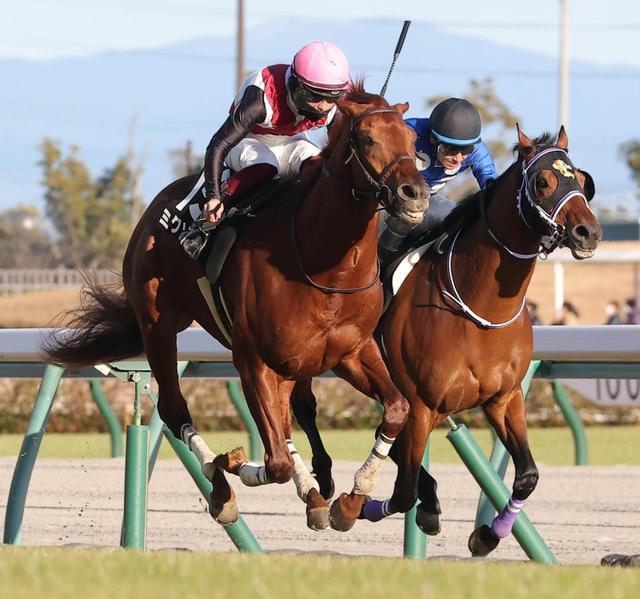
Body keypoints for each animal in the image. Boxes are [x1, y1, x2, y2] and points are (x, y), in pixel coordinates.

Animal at [45, 82, 430, 532]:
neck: (322, 264)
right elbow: (275, 461)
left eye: (413, 141)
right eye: (367, 139)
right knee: (175, 409)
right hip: (158, 326)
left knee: (285, 420)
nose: (415, 194)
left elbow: (397, 409)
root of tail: (153, 209)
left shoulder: (350, 351)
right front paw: (231, 463)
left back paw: (312, 493)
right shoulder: (254, 360)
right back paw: (222, 488)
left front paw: (351, 499)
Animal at [292, 126, 604, 552]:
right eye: (543, 182)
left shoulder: (504, 399)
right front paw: (351, 507)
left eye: (583, 182)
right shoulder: (423, 404)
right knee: (305, 407)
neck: (479, 309)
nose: (588, 232)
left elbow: (527, 475)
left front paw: (487, 535)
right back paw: (324, 481)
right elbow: (402, 491)